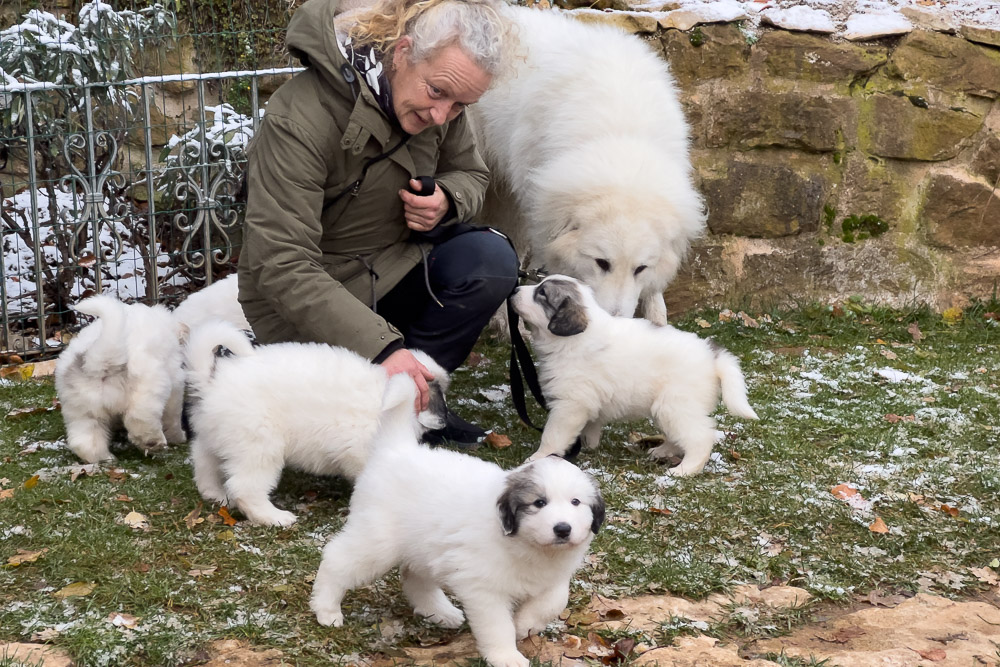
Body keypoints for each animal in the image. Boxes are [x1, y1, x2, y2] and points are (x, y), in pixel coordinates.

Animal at [55, 294, 188, 462]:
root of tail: (99, 361)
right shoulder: (176, 383)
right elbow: (173, 417)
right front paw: (178, 437)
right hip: (147, 391)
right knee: (140, 419)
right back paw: (152, 443)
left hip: (81, 408)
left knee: (85, 439)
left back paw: (104, 458)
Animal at [185, 322, 450, 528]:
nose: (446, 420)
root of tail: (211, 382)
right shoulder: (362, 448)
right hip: (259, 446)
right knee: (244, 487)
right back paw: (274, 517)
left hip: (217, 438)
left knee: (204, 463)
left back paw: (215, 494)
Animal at [308, 444, 600, 667]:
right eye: (539, 503)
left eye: (576, 502)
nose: (563, 529)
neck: (530, 546)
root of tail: (395, 447)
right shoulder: (484, 589)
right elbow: (497, 625)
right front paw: (506, 656)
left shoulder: (554, 577)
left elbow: (554, 601)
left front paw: (524, 624)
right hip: (378, 541)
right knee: (337, 560)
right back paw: (326, 609)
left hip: (427, 547)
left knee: (413, 576)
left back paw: (440, 612)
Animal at [468, 7, 704, 326]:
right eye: (601, 263)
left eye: (640, 269)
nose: (616, 321)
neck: (621, 138)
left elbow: (655, 294)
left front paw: (658, 324)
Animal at [512, 272, 760, 474]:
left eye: (542, 294)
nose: (514, 290)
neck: (572, 339)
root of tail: (712, 356)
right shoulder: (588, 400)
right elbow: (591, 425)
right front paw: (589, 445)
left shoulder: (569, 405)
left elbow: (552, 435)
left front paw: (538, 457)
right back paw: (662, 451)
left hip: (676, 405)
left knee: (700, 438)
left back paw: (684, 470)